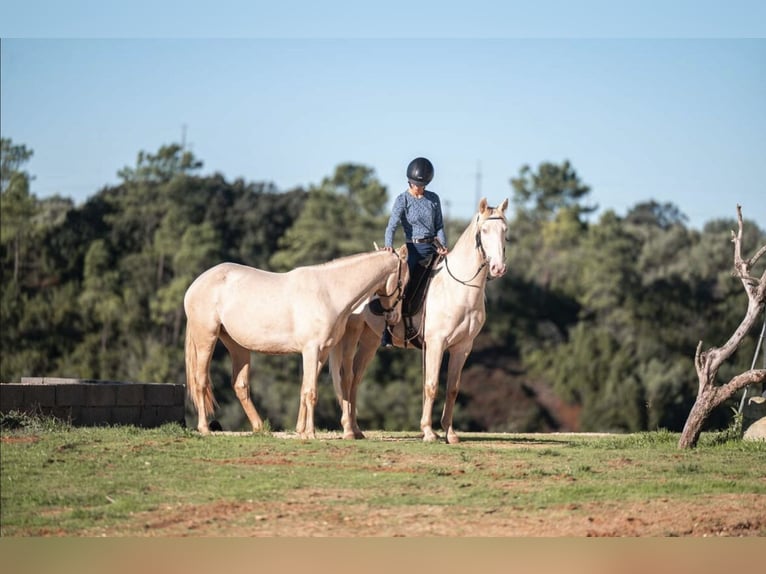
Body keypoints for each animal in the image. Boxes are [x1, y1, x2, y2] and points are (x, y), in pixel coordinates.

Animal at [184, 245, 409, 439]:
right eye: (405, 281)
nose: (395, 318)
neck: (329, 293)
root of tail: (196, 284)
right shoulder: (311, 350)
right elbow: (311, 392)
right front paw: (310, 433)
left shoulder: (321, 352)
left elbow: (304, 389)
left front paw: (301, 430)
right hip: (206, 339)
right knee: (200, 380)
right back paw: (204, 428)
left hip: (237, 346)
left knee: (240, 385)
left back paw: (260, 427)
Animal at [330, 198, 508, 443]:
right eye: (484, 230)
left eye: (505, 230)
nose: (498, 268)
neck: (458, 287)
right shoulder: (436, 344)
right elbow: (431, 385)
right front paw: (428, 431)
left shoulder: (463, 347)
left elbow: (452, 388)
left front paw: (450, 433)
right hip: (351, 334)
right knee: (346, 377)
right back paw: (348, 429)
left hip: (370, 339)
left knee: (356, 377)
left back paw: (357, 430)